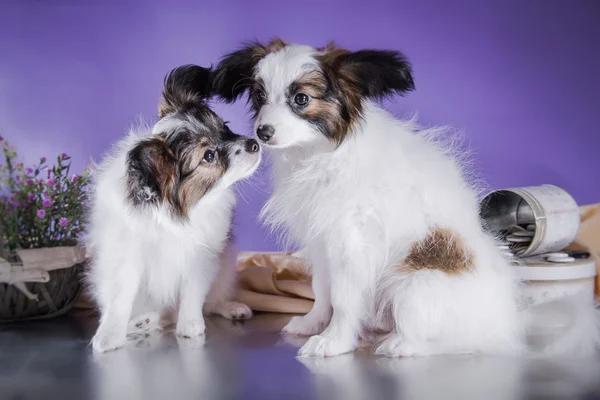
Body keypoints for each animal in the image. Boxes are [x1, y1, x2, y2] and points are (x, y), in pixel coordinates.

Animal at [86, 63, 260, 354]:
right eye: (209, 155)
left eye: (225, 127)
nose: (255, 144)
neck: (173, 212)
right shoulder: (126, 259)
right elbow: (120, 298)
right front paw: (109, 335)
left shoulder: (201, 258)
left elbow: (193, 293)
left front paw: (190, 325)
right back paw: (143, 321)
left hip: (225, 267)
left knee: (210, 301)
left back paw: (229, 308)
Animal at [211, 39, 600, 358]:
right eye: (259, 97)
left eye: (301, 99)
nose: (262, 133)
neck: (321, 154)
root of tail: (507, 322)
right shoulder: (322, 241)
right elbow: (323, 290)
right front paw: (312, 324)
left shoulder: (353, 244)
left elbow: (344, 298)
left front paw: (334, 341)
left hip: (415, 286)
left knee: (458, 340)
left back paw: (402, 344)